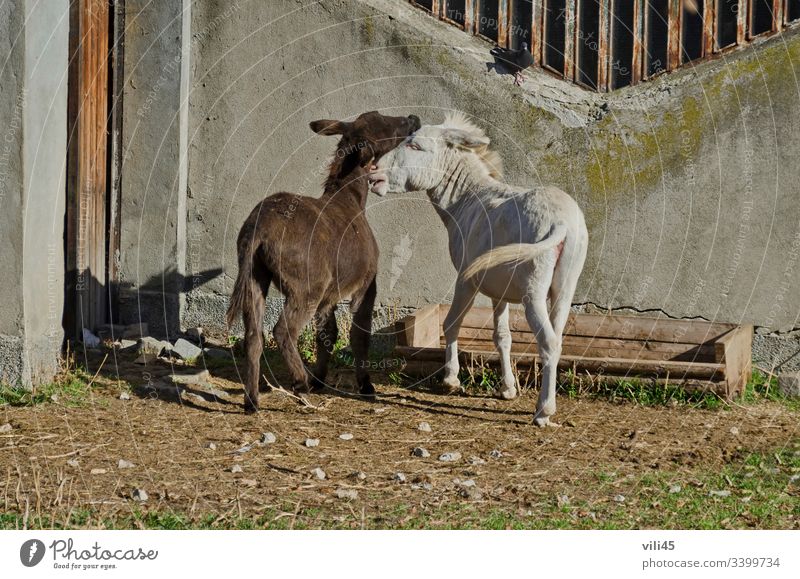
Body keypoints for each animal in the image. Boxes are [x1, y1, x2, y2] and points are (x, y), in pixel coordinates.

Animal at [228, 111, 422, 412]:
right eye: (387, 125)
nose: (414, 117)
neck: (352, 200)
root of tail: (259, 229)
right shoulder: (366, 283)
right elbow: (358, 335)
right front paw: (366, 386)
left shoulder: (329, 295)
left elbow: (327, 335)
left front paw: (321, 379)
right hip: (306, 287)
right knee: (283, 330)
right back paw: (300, 383)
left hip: (254, 277)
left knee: (253, 336)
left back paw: (252, 401)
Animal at [368, 112, 588, 426]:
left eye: (414, 146)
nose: (373, 173)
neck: (467, 198)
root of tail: (561, 223)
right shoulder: (500, 291)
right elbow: (502, 337)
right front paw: (508, 388)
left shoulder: (466, 279)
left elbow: (451, 323)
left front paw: (451, 379)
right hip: (564, 288)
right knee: (557, 339)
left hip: (533, 291)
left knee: (547, 341)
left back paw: (543, 411)